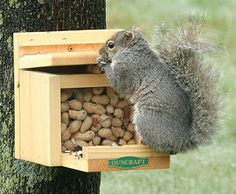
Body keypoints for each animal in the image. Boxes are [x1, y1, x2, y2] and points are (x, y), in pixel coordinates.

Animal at [96, 19, 219, 154]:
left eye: (110, 45)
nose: (99, 51)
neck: (132, 51)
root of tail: (183, 142)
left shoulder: (125, 69)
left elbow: (120, 85)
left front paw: (104, 63)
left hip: (146, 119)